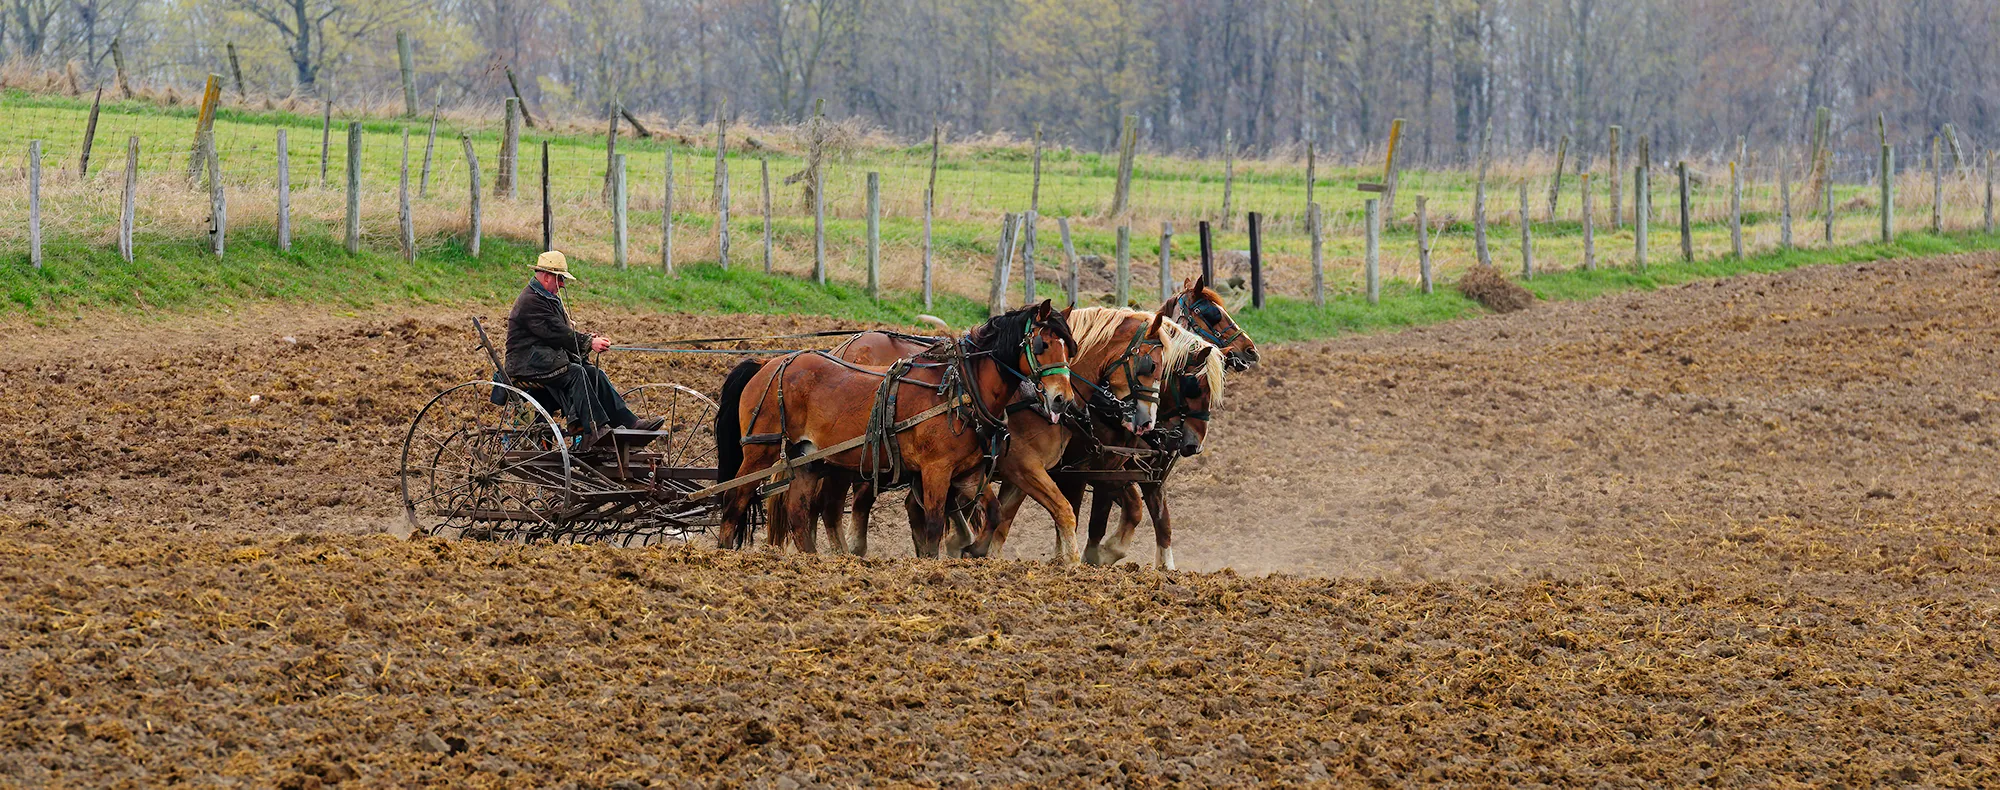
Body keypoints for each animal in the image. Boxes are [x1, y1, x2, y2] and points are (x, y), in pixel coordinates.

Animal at [712, 301, 1078, 558]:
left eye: (1069, 347)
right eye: (1042, 344)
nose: (1062, 399)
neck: (962, 388)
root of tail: (768, 362)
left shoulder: (967, 473)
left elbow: (993, 513)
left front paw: (972, 549)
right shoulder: (935, 470)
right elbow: (934, 522)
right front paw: (934, 559)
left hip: (808, 457)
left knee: (800, 511)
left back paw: (815, 559)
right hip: (761, 449)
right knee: (736, 498)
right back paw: (724, 553)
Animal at [823, 306, 1182, 563]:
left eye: (1167, 369)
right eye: (1150, 365)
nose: (1147, 422)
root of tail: (846, 345)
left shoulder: (1032, 471)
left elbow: (1006, 514)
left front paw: (978, 549)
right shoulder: (1022, 465)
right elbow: (1061, 509)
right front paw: (1069, 558)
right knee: (857, 494)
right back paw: (852, 547)